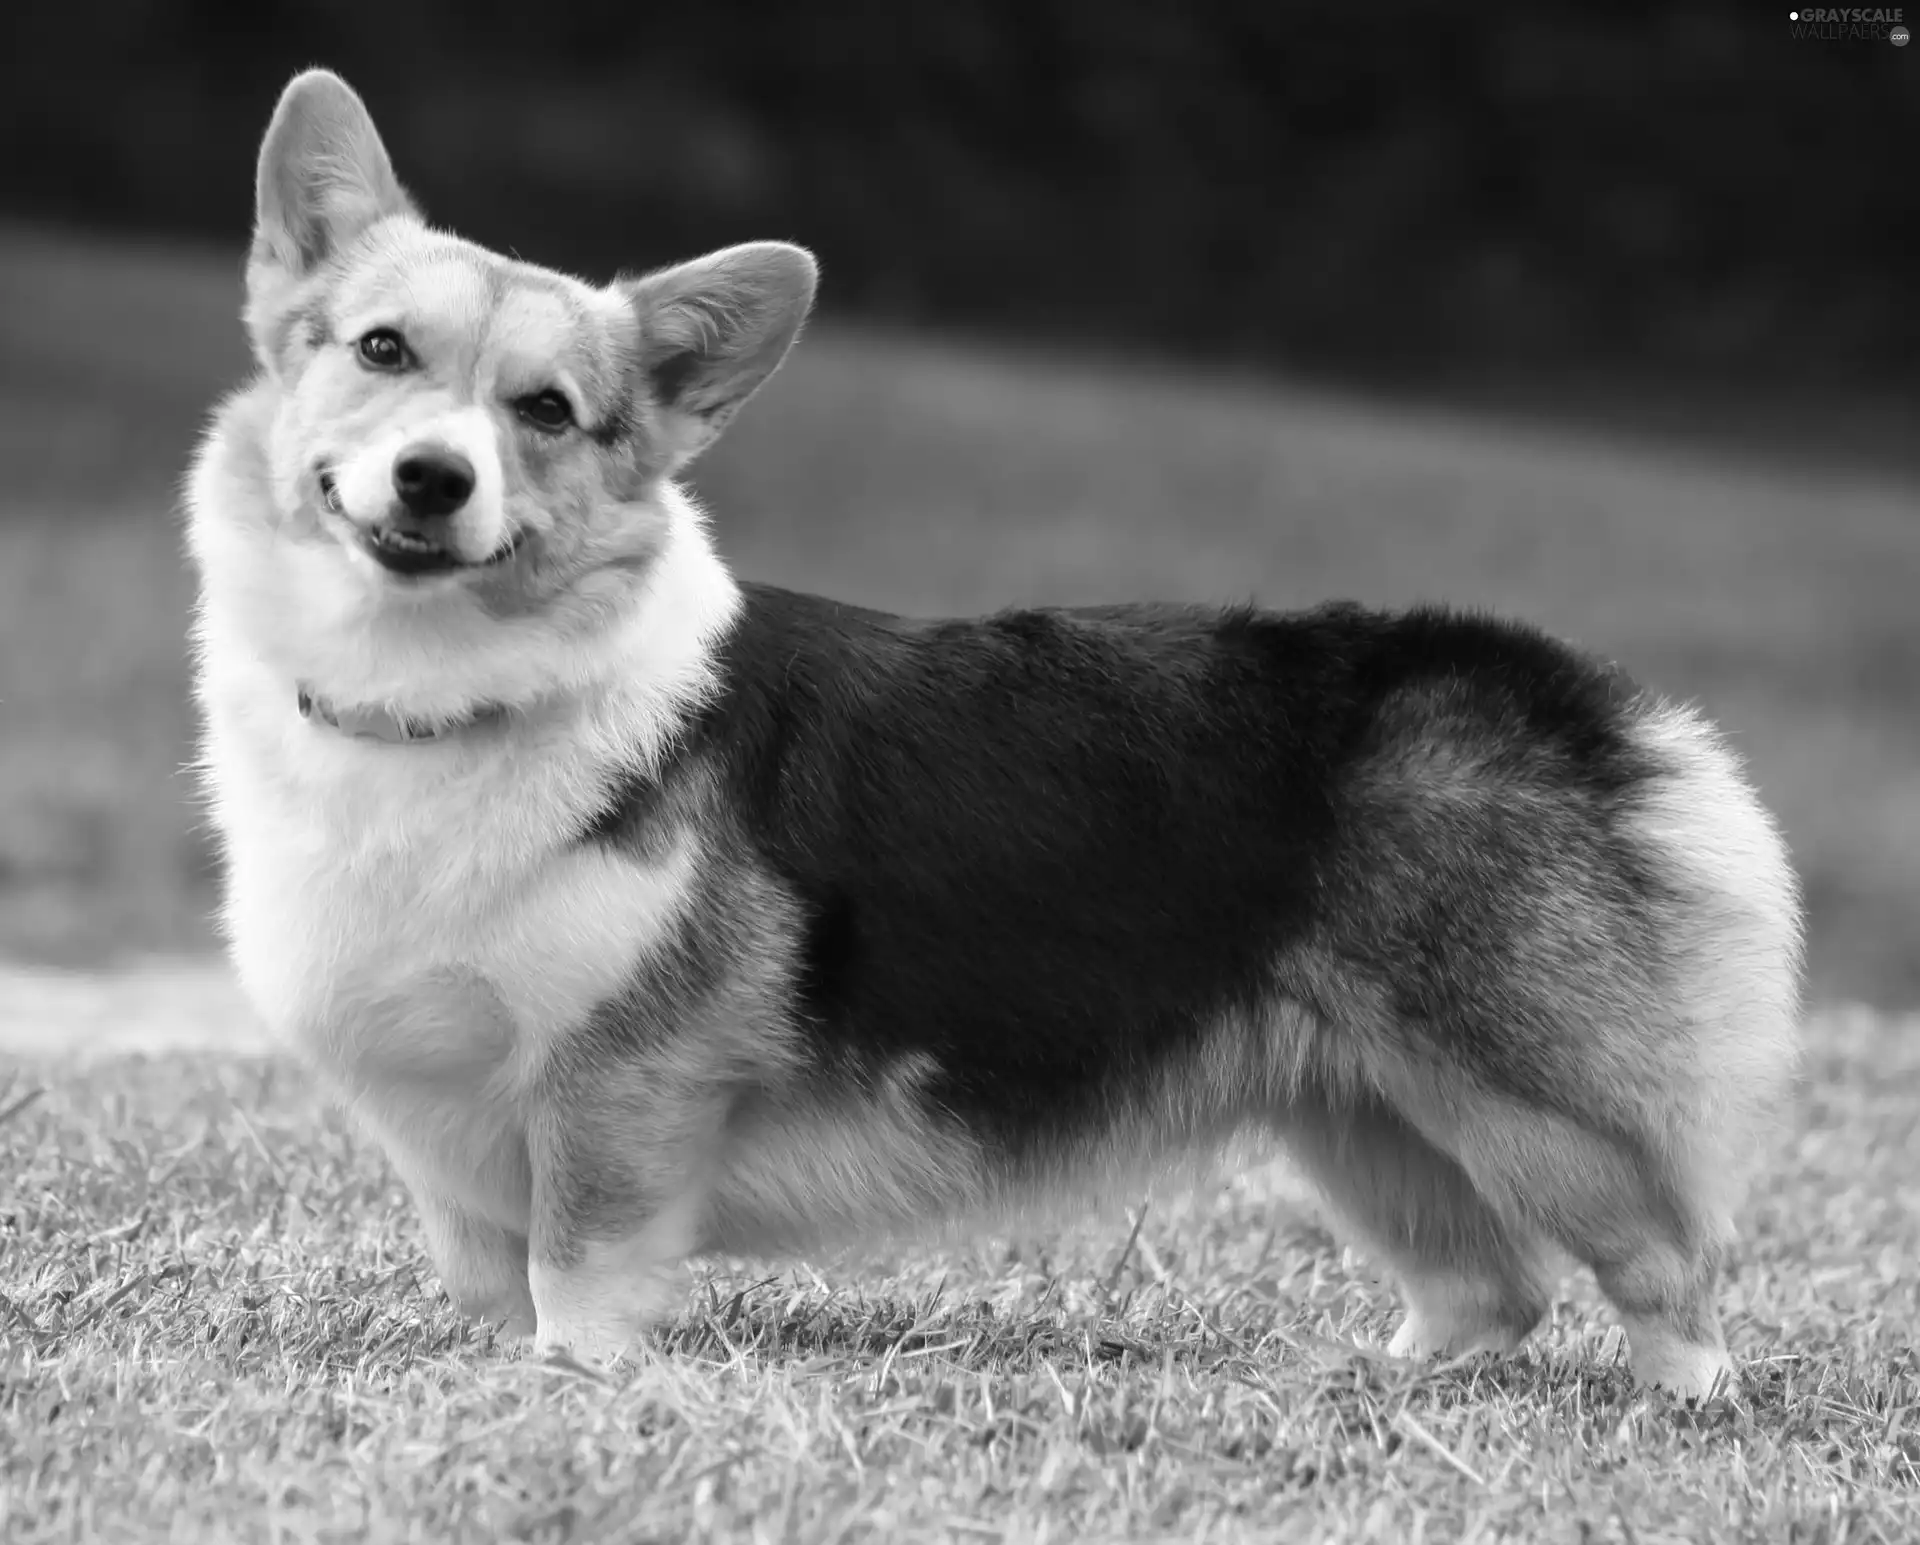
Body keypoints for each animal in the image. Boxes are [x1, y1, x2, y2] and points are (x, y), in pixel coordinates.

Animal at [187, 69, 1804, 1397]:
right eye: (381, 351)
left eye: (545, 411)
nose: (434, 479)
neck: (435, 694)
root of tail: (1579, 695)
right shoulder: (448, 1129)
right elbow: (486, 1275)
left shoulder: (620, 1090)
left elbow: (577, 1268)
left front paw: (570, 1383)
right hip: (1363, 1111)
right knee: (1489, 1292)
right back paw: (1373, 1381)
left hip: (1529, 1107)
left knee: (1667, 1273)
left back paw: (1680, 1403)